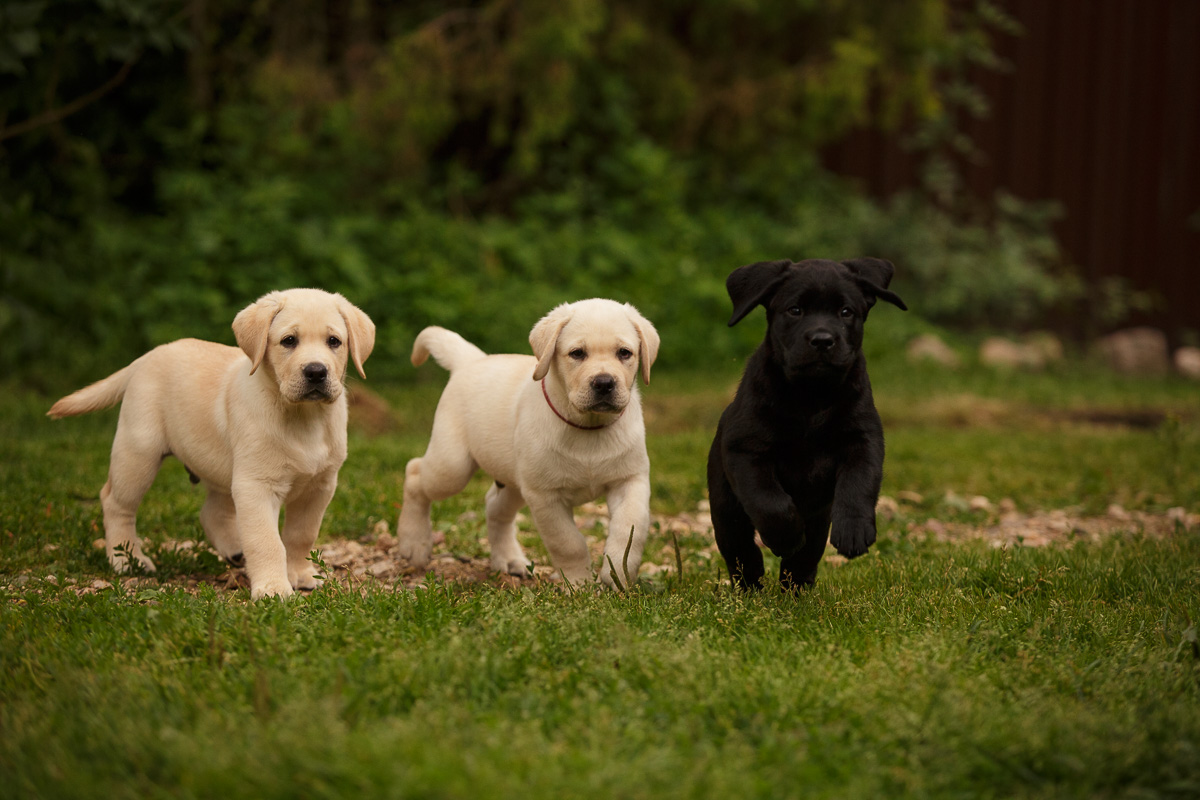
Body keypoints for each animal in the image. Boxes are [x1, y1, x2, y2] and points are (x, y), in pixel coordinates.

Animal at [49, 289, 372, 599]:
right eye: (289, 341)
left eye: (334, 341)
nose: (316, 371)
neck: (304, 418)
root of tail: (146, 358)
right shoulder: (256, 485)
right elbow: (266, 540)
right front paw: (272, 588)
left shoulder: (319, 486)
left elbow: (301, 535)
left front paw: (299, 574)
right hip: (138, 452)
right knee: (116, 503)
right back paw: (127, 559)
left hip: (222, 469)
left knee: (211, 513)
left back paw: (234, 551)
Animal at [396, 298, 662, 587]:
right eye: (577, 353)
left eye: (624, 353)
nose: (604, 383)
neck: (588, 426)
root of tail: (473, 360)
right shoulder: (544, 495)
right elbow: (568, 542)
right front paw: (578, 582)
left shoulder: (630, 480)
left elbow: (631, 527)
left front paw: (618, 573)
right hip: (453, 466)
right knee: (414, 472)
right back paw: (414, 543)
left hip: (513, 480)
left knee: (495, 508)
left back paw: (509, 559)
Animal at [700, 260, 907, 592]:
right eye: (795, 310)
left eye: (846, 312)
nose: (822, 340)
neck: (811, 396)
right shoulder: (745, 450)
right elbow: (768, 501)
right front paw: (785, 537)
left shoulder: (864, 440)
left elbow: (859, 483)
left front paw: (853, 532)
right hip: (725, 510)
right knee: (741, 550)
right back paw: (751, 585)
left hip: (819, 518)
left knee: (806, 555)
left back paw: (795, 588)